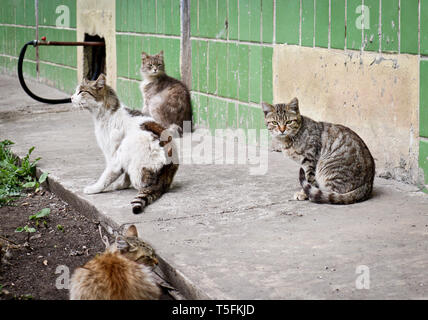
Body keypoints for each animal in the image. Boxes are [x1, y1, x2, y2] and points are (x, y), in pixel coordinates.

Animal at [71, 74, 178, 214]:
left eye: (81, 91)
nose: (71, 98)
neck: (105, 115)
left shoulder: (113, 154)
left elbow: (107, 175)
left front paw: (95, 188)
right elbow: (124, 176)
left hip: (129, 148)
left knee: (145, 186)